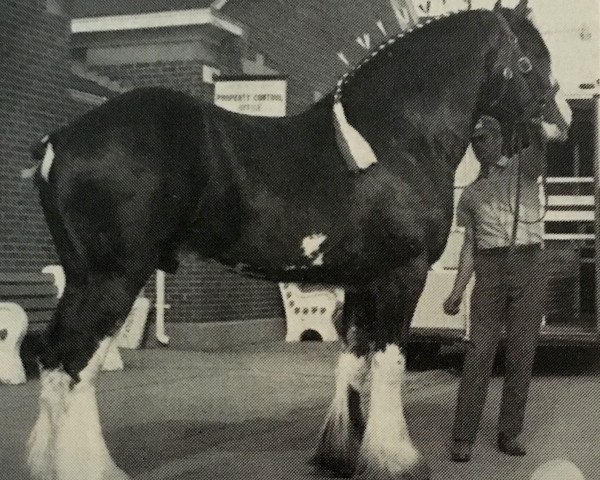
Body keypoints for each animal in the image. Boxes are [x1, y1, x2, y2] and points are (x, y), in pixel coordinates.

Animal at [28, 1, 568, 478]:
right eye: (529, 59)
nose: (559, 126)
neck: (396, 138)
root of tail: (61, 139)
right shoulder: (403, 276)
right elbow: (390, 363)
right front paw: (396, 460)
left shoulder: (361, 283)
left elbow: (353, 362)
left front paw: (342, 454)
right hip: (112, 279)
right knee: (75, 365)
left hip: (83, 278)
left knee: (55, 362)